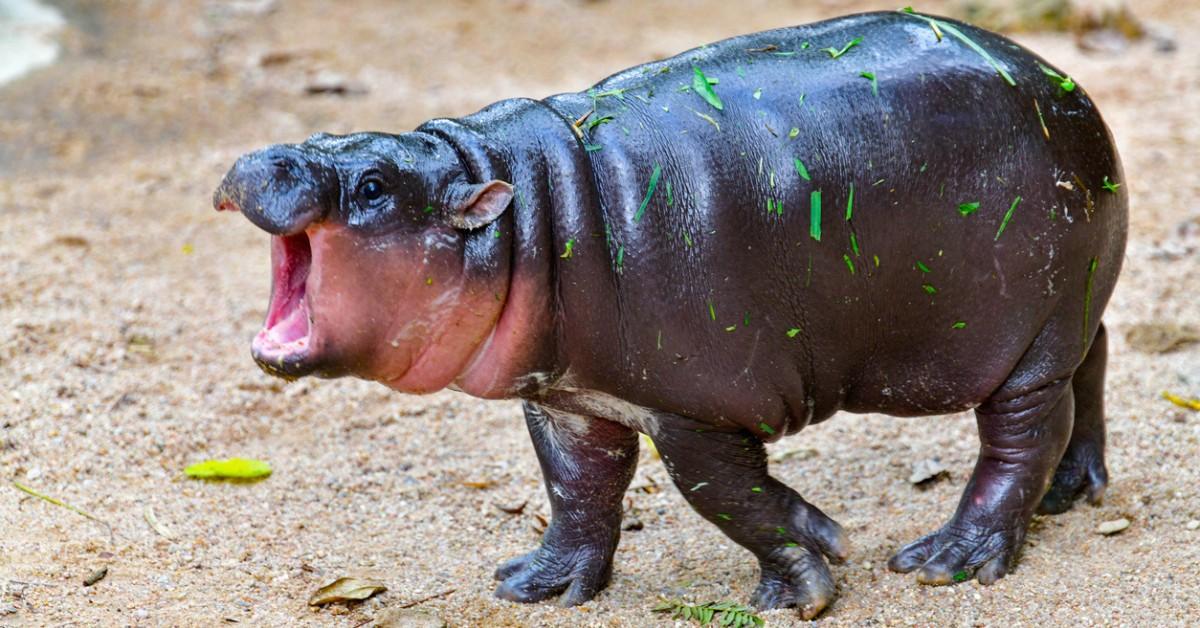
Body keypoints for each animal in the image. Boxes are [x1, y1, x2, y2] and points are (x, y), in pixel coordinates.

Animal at [216, 8, 1123, 619]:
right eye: (324, 133)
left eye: (373, 184)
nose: (259, 158)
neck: (526, 214)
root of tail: (1067, 88)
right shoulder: (567, 397)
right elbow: (577, 488)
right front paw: (537, 584)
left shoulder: (699, 409)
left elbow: (729, 497)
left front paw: (805, 579)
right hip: (1074, 306)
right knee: (1094, 369)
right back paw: (1070, 495)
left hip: (1028, 337)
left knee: (1021, 435)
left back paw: (949, 559)